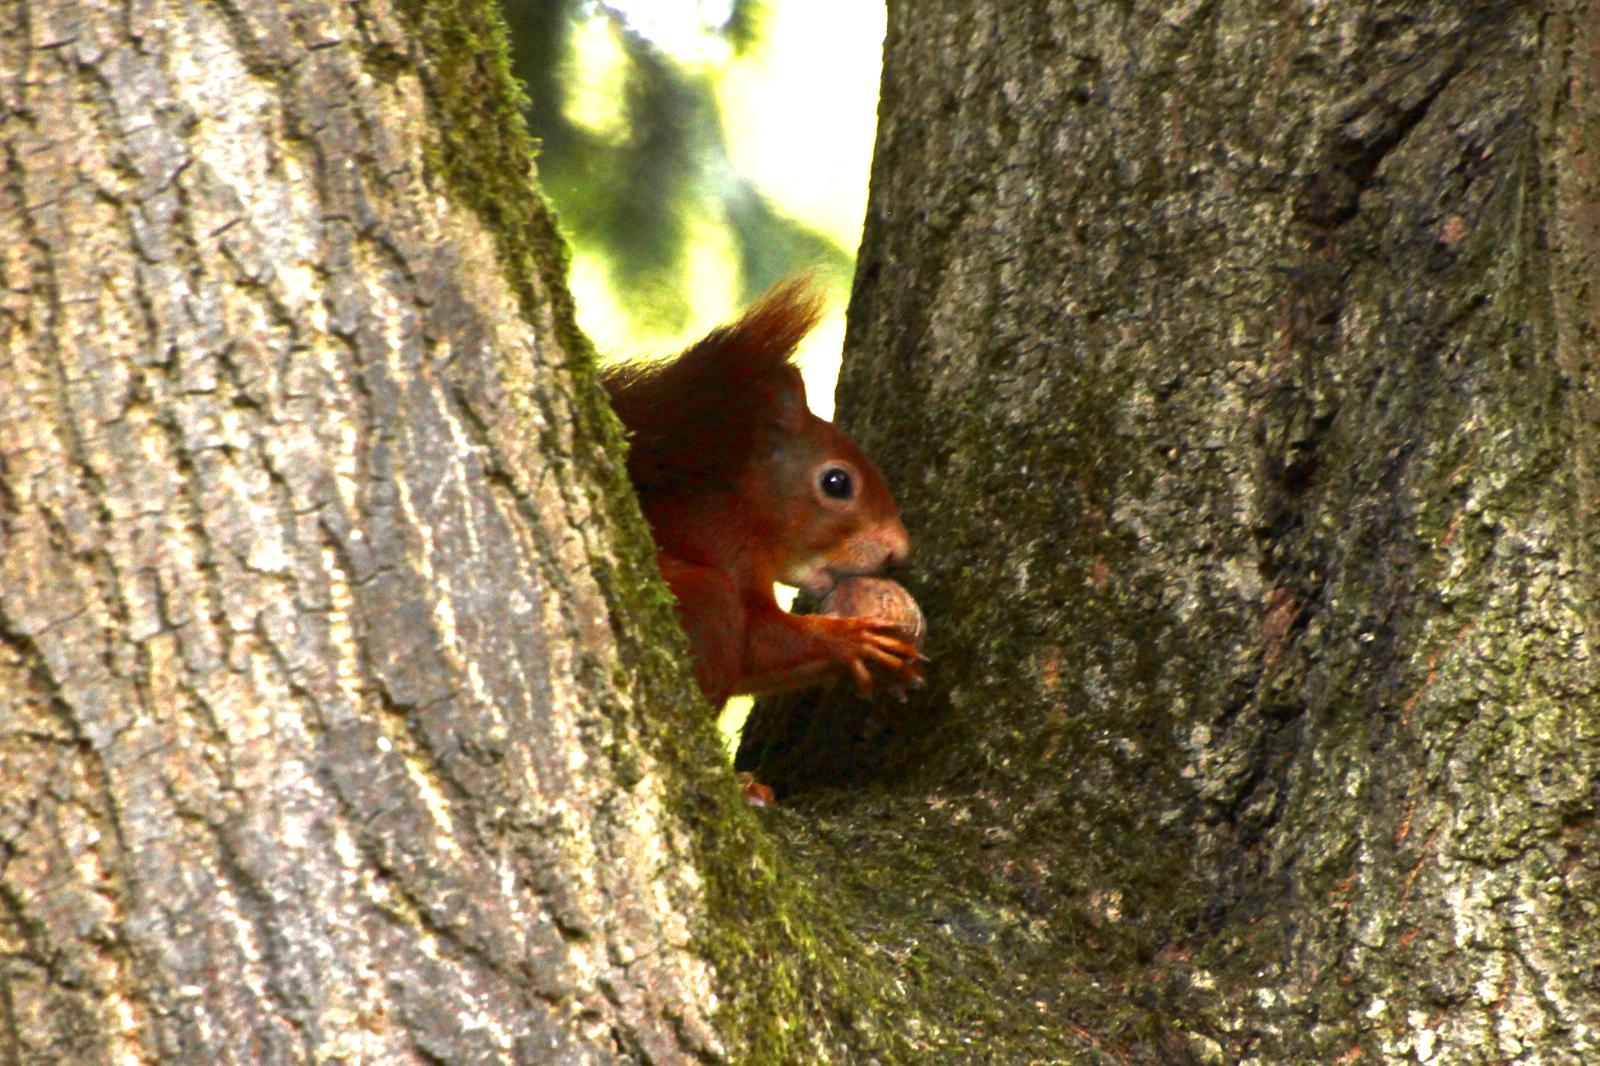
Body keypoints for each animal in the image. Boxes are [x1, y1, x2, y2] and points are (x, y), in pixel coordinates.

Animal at [601, 278, 928, 701]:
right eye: (837, 482)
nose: (898, 551)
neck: (744, 506)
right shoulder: (720, 538)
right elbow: (761, 638)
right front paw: (849, 640)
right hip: (706, 595)